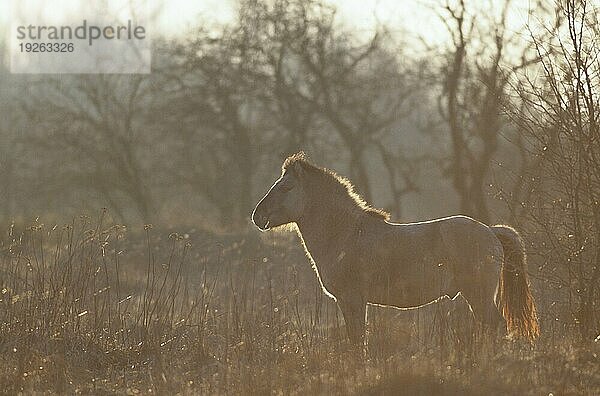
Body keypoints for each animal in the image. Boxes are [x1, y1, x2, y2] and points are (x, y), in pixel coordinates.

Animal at [250, 153, 540, 344]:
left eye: (287, 186)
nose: (257, 216)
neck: (345, 234)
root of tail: (490, 231)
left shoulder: (353, 300)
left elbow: (357, 343)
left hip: (479, 295)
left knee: (496, 327)